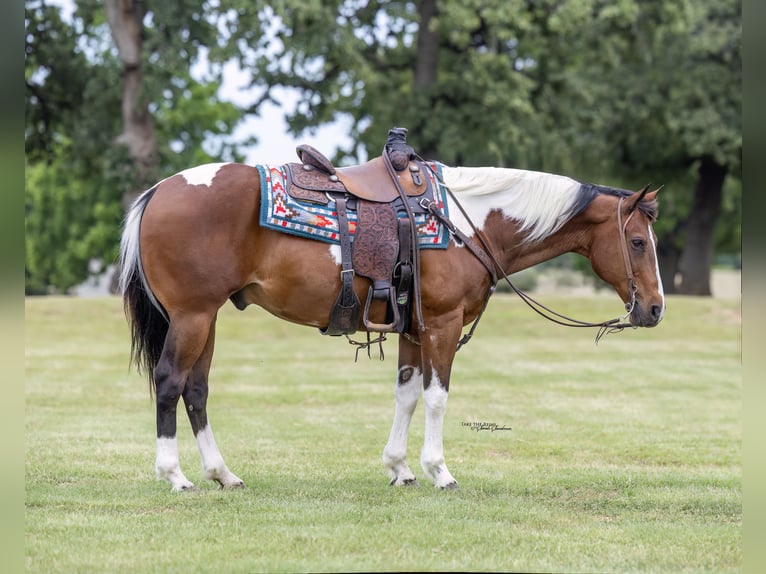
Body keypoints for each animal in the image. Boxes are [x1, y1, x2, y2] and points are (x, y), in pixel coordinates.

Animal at [119, 153, 664, 492]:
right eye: (638, 242)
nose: (656, 308)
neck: (467, 224)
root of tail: (158, 191)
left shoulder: (412, 330)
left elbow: (406, 395)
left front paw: (400, 468)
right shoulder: (442, 325)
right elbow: (437, 397)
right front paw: (439, 471)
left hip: (206, 319)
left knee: (196, 390)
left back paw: (222, 473)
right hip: (192, 317)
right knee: (170, 383)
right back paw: (175, 475)